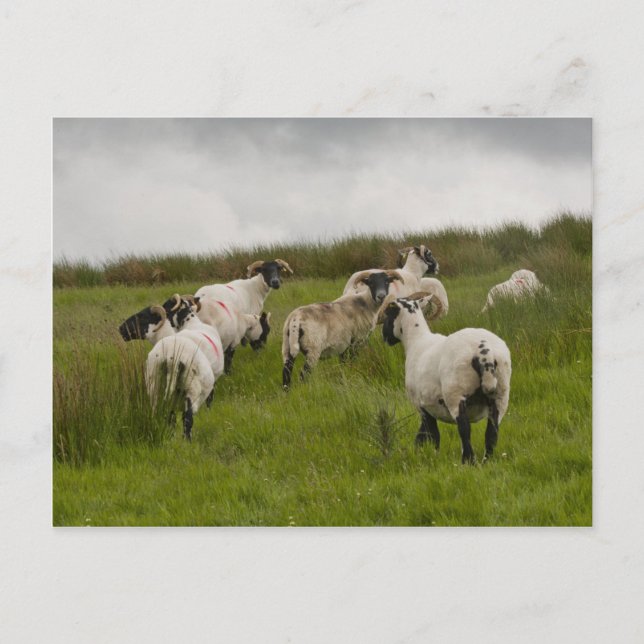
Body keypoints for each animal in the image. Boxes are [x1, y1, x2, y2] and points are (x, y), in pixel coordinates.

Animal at [119, 305, 214, 440]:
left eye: (143, 316)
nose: (121, 329)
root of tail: (172, 357)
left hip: (155, 386)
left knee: (168, 415)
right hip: (191, 389)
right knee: (187, 418)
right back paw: (185, 441)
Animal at [379, 291, 511, 464]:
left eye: (389, 313)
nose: (384, 336)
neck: (416, 341)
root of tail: (484, 351)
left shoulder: (422, 405)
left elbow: (431, 434)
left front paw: (431, 455)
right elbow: (422, 435)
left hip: (455, 393)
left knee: (464, 429)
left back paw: (468, 461)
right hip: (501, 394)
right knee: (492, 432)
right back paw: (486, 461)